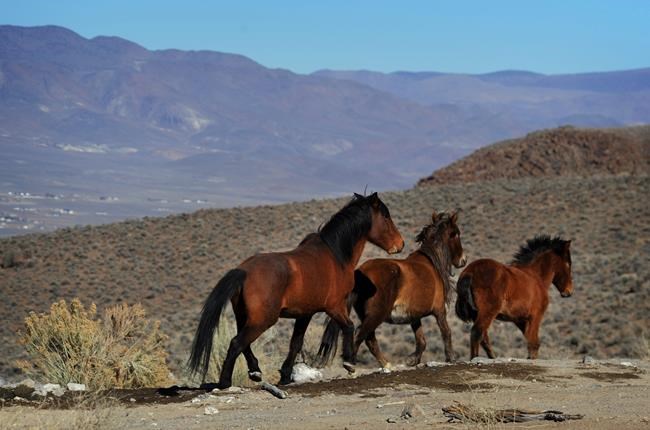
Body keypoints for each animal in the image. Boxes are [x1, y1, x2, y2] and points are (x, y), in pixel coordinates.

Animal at [188, 192, 404, 389]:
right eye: (386, 216)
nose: (400, 244)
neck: (335, 256)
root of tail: (243, 270)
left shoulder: (304, 314)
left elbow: (296, 343)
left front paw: (285, 375)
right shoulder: (334, 307)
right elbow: (349, 327)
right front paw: (349, 363)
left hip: (245, 317)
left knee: (244, 343)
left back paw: (255, 372)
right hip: (263, 320)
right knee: (236, 343)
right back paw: (225, 382)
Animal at [318, 210, 467, 368]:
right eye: (456, 234)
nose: (463, 260)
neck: (432, 262)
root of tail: (359, 272)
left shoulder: (414, 317)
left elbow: (421, 341)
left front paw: (413, 360)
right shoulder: (440, 311)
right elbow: (446, 333)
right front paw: (451, 358)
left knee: (370, 340)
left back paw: (386, 365)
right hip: (376, 315)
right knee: (361, 334)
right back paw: (351, 364)